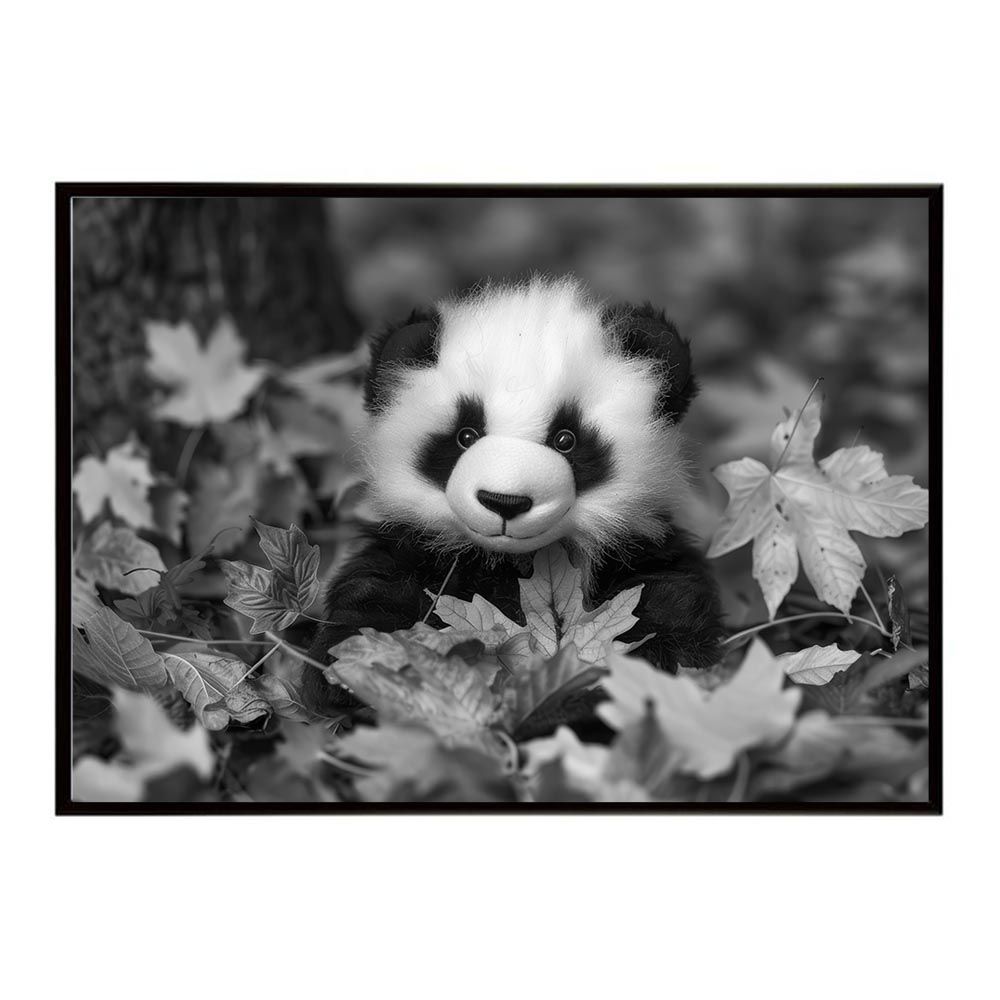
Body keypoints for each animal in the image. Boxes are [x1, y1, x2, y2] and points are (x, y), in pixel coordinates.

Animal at [307, 276, 723, 710]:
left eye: (566, 439)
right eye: (466, 435)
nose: (504, 502)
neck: (515, 561)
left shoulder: (636, 551)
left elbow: (665, 610)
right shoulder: (416, 551)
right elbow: (373, 601)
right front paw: (362, 667)